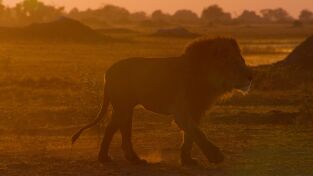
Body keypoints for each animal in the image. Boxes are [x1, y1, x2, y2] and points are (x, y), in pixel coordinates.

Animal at [72, 37, 252, 166]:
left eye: (242, 61)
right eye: (234, 63)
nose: (250, 76)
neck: (208, 78)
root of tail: (107, 72)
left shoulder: (196, 109)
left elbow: (191, 135)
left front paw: (187, 160)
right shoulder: (181, 111)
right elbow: (197, 133)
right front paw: (216, 157)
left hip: (124, 107)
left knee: (114, 128)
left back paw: (119, 158)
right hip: (123, 106)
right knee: (118, 130)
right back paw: (121, 158)